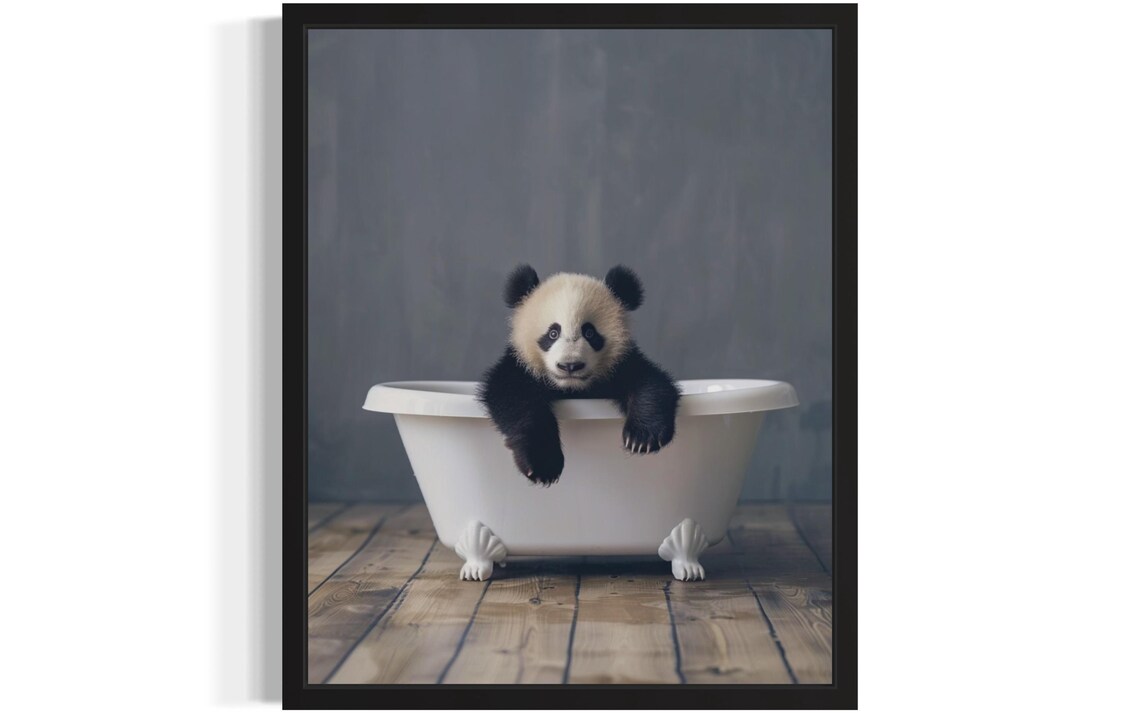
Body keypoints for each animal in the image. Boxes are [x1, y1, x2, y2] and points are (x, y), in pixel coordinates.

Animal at [477, 264, 681, 485]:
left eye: (590, 333)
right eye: (553, 333)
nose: (570, 365)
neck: (572, 389)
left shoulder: (621, 365)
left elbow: (650, 382)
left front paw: (642, 437)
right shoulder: (519, 366)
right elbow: (512, 396)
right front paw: (544, 463)